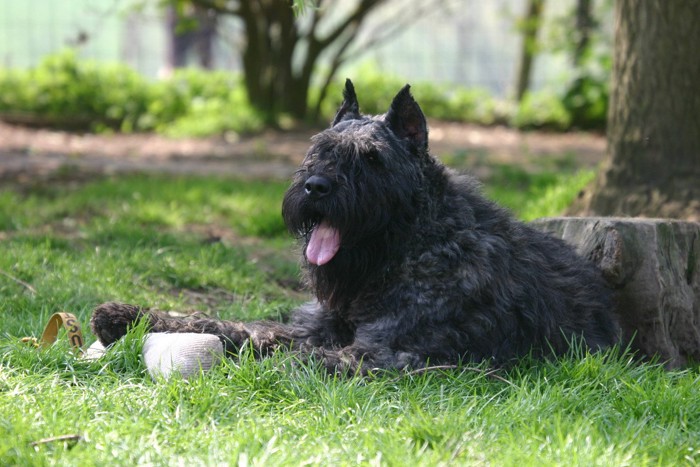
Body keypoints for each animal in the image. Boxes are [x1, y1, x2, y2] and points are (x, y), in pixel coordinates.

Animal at [91, 79, 616, 372]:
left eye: (372, 158)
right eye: (317, 149)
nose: (316, 187)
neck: (405, 248)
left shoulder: (386, 351)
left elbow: (282, 355)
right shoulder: (314, 327)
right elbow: (236, 326)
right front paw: (132, 317)